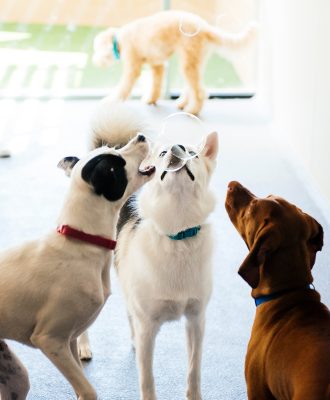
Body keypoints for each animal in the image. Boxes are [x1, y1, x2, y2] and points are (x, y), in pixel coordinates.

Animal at [0, 111, 155, 398]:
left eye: (115, 149)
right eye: (117, 163)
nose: (140, 137)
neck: (81, 241)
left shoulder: (68, 339)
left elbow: (81, 387)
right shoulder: (50, 340)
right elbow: (89, 390)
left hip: (15, 376)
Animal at [91, 10, 256, 114]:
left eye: (97, 50)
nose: (95, 62)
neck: (119, 39)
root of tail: (206, 28)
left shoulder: (132, 66)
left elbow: (123, 87)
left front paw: (111, 101)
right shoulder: (157, 65)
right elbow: (156, 85)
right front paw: (150, 99)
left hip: (188, 61)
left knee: (200, 92)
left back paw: (193, 110)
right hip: (195, 60)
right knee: (193, 86)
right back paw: (183, 103)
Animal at [113, 132, 219, 400]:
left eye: (193, 153)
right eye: (162, 154)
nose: (175, 148)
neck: (178, 233)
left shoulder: (196, 320)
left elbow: (194, 369)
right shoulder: (148, 328)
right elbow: (147, 379)